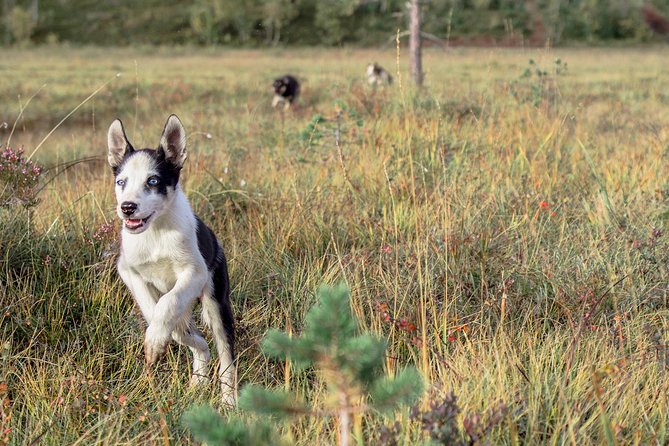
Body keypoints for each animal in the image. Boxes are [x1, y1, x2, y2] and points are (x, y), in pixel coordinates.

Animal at [106, 114, 235, 404]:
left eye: (153, 182)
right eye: (121, 182)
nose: (127, 207)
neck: (155, 232)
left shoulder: (195, 272)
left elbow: (168, 302)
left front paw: (156, 338)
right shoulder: (129, 270)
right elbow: (153, 307)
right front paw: (157, 336)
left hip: (216, 302)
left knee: (225, 355)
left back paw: (229, 400)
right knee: (197, 340)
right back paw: (198, 378)